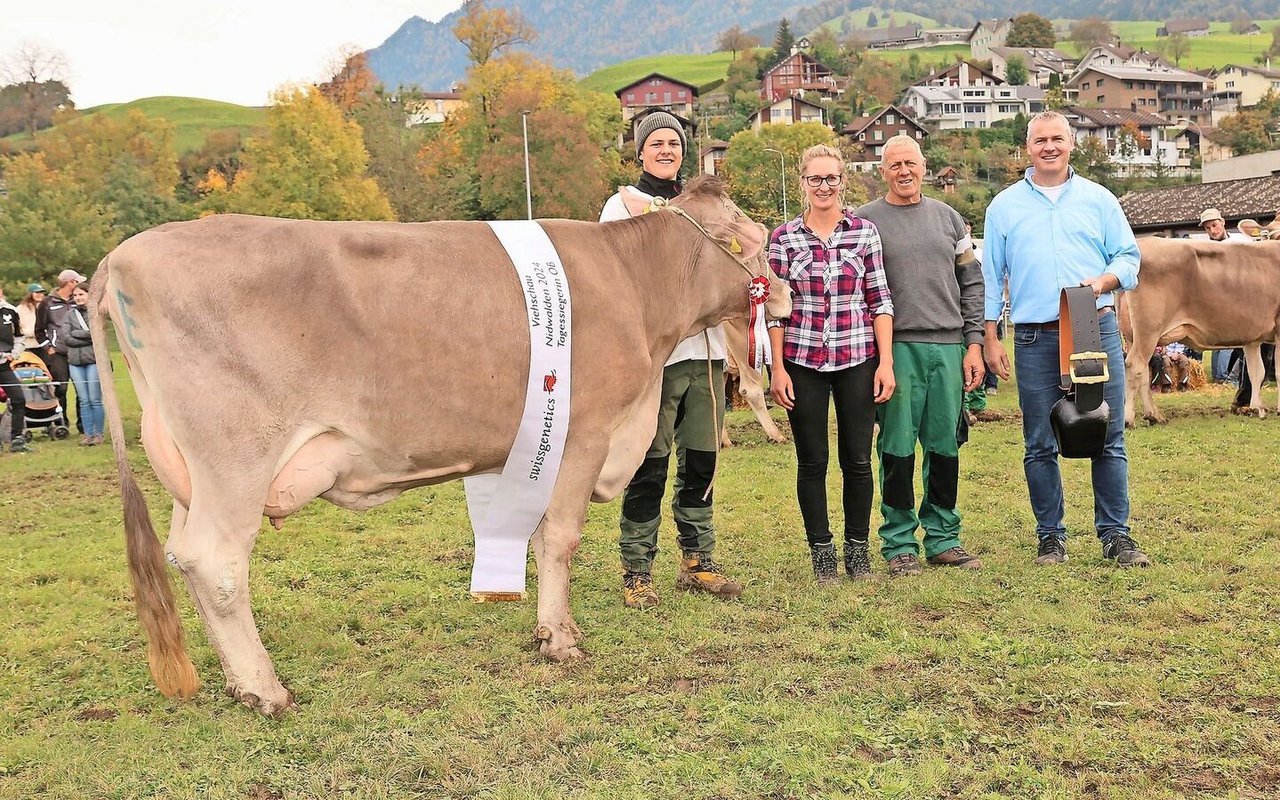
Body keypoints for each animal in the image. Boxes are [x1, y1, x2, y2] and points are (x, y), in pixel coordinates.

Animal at [90, 177, 783, 716]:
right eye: (744, 237)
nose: (779, 292)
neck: (635, 287)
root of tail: (123, 255)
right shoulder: (584, 433)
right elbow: (561, 539)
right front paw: (560, 639)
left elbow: (538, 539)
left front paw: (547, 628)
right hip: (235, 456)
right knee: (216, 561)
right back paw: (266, 689)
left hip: (189, 470)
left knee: (184, 557)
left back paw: (238, 682)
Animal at [1121, 236, 1280, 424]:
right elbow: (1277, 371)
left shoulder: (1252, 337)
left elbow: (1256, 372)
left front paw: (1257, 408)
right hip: (1148, 330)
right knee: (1135, 365)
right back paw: (1129, 419)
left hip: (1134, 336)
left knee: (1143, 371)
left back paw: (1154, 415)